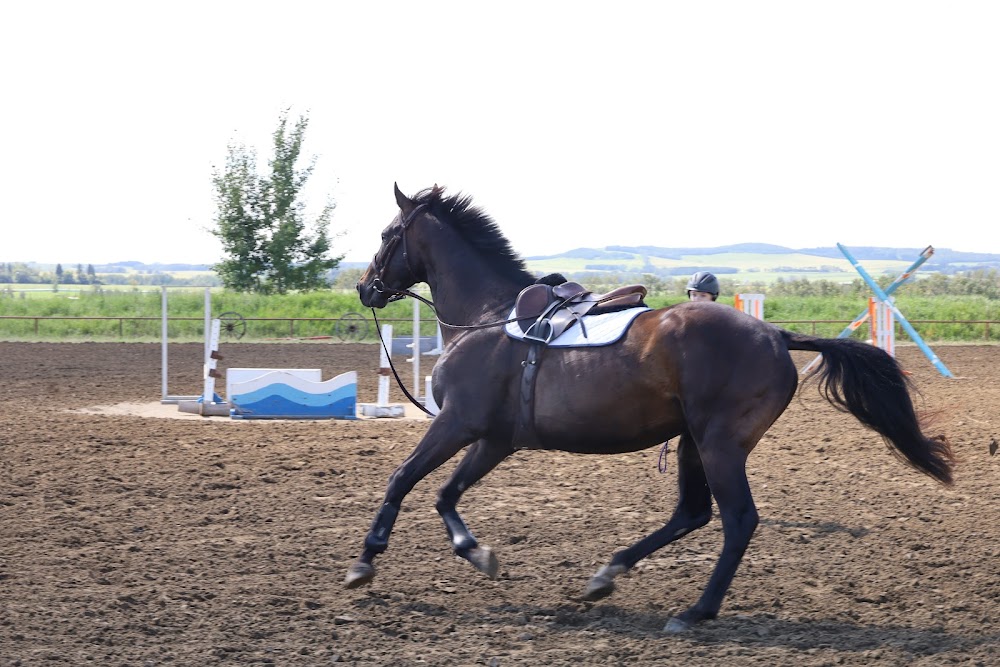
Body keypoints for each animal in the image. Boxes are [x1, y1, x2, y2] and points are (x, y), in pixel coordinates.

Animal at [350, 184, 952, 632]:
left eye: (385, 234)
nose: (364, 288)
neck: (488, 316)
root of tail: (776, 336)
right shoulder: (495, 439)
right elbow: (445, 494)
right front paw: (475, 552)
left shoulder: (458, 424)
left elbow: (403, 479)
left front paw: (365, 561)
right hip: (691, 442)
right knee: (692, 513)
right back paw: (607, 574)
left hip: (718, 445)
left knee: (737, 519)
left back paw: (695, 611)